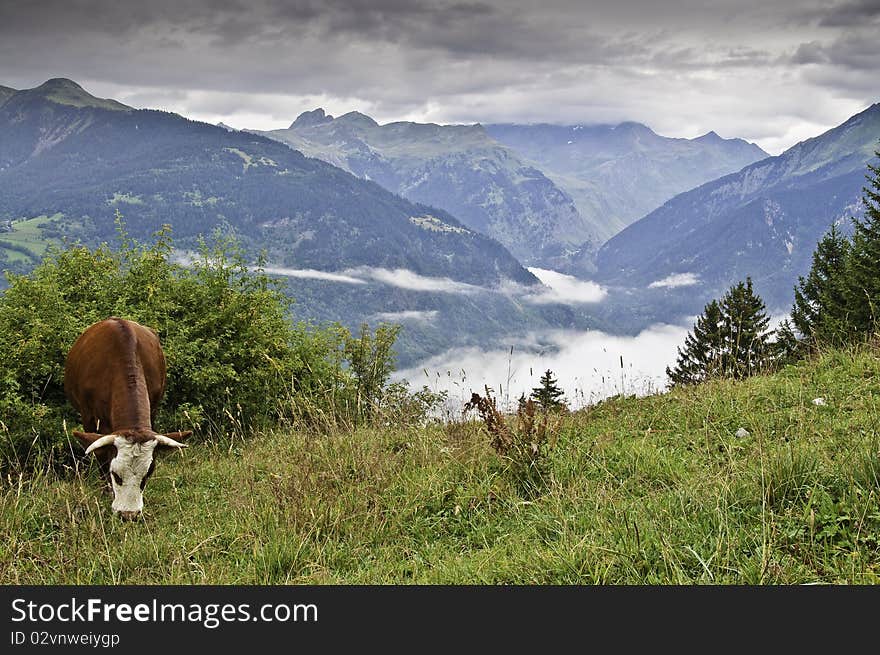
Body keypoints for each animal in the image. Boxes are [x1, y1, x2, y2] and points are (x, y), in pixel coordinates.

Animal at [64, 320, 192, 524]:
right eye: (115, 474)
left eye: (148, 473)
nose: (128, 515)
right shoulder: (88, 417)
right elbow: (100, 457)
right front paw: (106, 492)